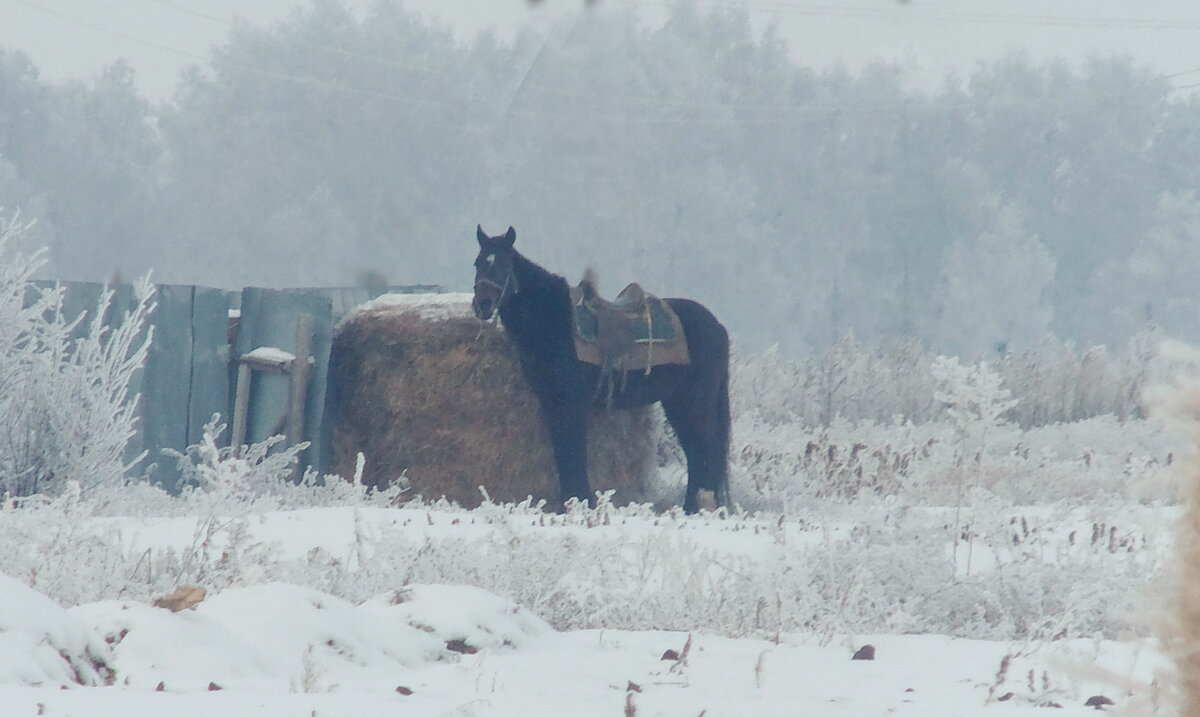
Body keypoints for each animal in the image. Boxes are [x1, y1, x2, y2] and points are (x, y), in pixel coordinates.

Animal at [470, 227, 729, 513]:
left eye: (504, 264)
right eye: (478, 263)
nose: (482, 305)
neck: (553, 321)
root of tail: (717, 326)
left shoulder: (572, 403)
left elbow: (573, 452)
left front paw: (580, 501)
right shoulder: (551, 402)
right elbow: (562, 453)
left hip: (695, 403)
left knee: (705, 453)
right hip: (677, 403)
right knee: (697, 453)